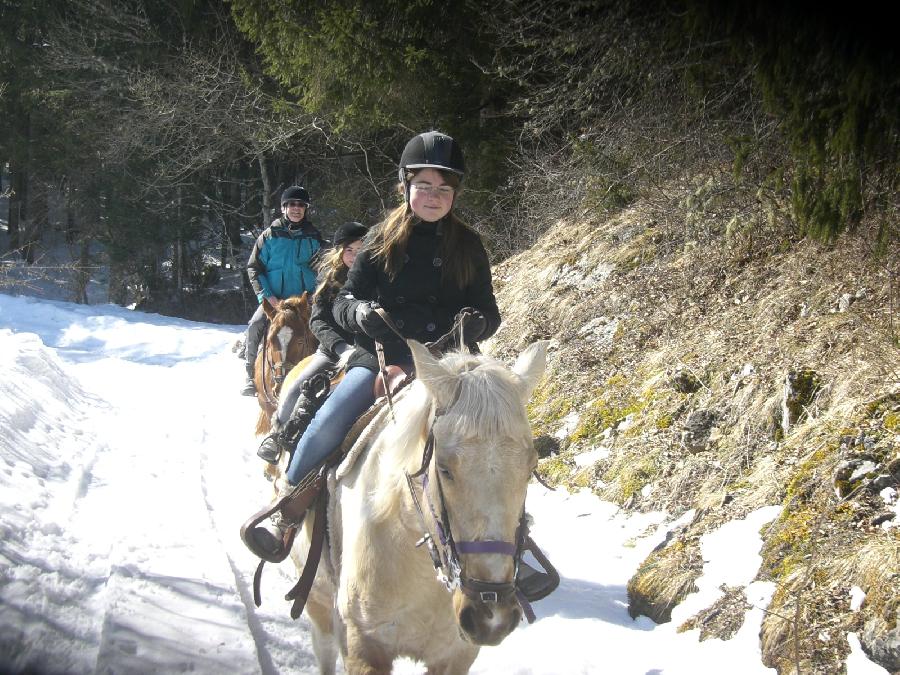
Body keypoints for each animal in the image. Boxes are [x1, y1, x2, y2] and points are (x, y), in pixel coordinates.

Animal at [294, 340, 548, 672]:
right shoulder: (361, 644)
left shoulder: (455, 655)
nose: (491, 616)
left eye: (531, 468)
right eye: (444, 469)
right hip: (317, 599)